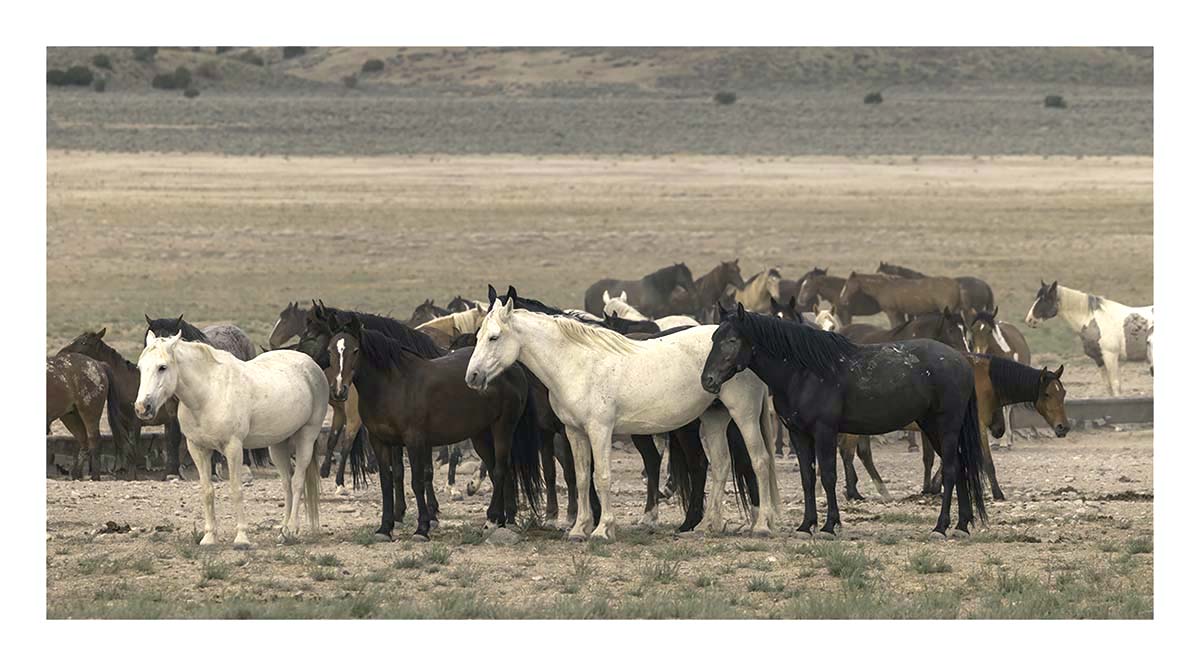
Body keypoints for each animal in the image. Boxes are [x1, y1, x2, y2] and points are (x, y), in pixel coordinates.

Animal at [135, 332, 328, 547]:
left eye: (162, 367)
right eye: (140, 368)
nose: (142, 408)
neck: (208, 394)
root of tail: (311, 364)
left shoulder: (233, 448)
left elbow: (236, 489)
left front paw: (242, 537)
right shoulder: (198, 449)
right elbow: (207, 491)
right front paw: (209, 537)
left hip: (306, 437)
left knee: (297, 482)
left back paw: (292, 530)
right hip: (278, 445)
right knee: (286, 484)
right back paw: (283, 532)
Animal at [330, 315, 542, 540]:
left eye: (355, 350)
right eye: (330, 350)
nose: (339, 390)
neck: (393, 385)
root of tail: (515, 368)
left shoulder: (414, 440)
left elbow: (417, 482)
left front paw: (422, 528)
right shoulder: (380, 441)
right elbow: (387, 482)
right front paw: (385, 528)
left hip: (503, 427)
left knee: (501, 469)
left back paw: (492, 519)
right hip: (481, 435)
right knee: (496, 471)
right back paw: (501, 521)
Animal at [467, 289, 780, 541]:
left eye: (494, 337)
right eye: (478, 335)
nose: (472, 376)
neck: (578, 363)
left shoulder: (599, 430)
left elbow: (602, 477)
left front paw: (603, 529)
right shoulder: (574, 432)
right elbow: (581, 477)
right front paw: (579, 529)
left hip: (744, 415)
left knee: (759, 461)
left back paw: (761, 525)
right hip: (714, 419)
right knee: (721, 465)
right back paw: (705, 527)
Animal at [701, 304, 988, 537]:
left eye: (731, 340)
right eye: (713, 338)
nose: (708, 380)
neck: (804, 372)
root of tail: (962, 362)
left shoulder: (825, 431)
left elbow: (828, 476)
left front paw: (830, 526)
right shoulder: (798, 434)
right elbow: (808, 478)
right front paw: (806, 526)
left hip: (946, 427)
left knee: (951, 468)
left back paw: (941, 527)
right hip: (932, 428)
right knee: (960, 467)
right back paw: (962, 525)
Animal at [1025, 281, 1153, 396]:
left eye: (1046, 299)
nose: (1029, 320)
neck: (1094, 320)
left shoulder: (1110, 356)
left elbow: (1115, 385)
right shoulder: (1099, 359)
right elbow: (1108, 387)